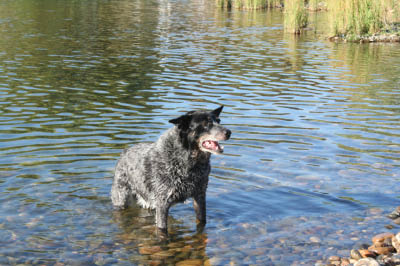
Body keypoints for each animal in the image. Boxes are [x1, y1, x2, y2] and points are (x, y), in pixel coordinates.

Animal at [111, 105, 233, 234]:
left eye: (218, 121)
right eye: (206, 124)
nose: (229, 132)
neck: (190, 164)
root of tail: (124, 152)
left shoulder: (200, 196)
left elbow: (202, 221)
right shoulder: (162, 203)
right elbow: (162, 229)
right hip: (122, 199)